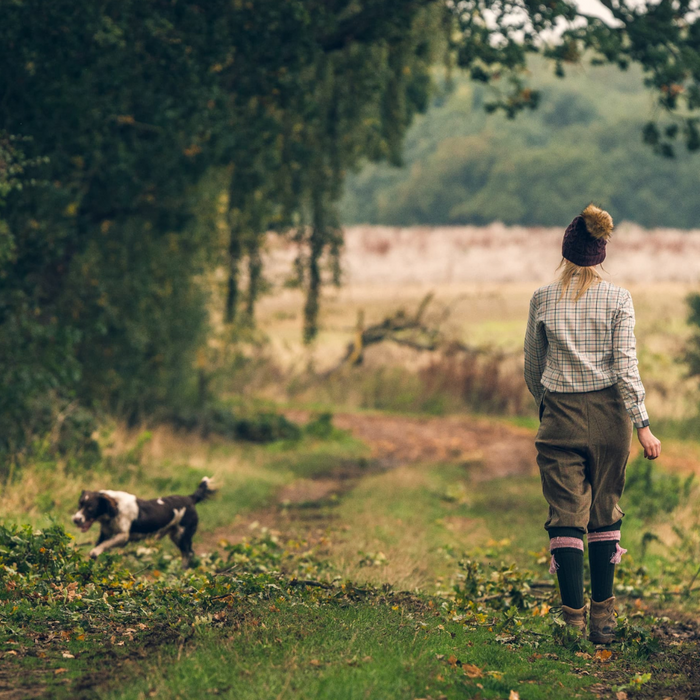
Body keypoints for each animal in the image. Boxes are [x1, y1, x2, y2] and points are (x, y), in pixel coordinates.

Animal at [71, 476, 215, 568]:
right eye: (79, 505)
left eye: (90, 509)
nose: (76, 519)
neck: (116, 508)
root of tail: (190, 498)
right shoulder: (106, 532)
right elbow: (101, 544)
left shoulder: (123, 536)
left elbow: (102, 546)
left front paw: (95, 552)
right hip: (175, 535)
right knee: (188, 552)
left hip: (182, 535)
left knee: (188, 553)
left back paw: (182, 571)